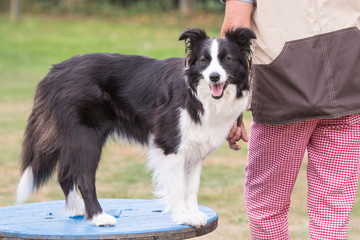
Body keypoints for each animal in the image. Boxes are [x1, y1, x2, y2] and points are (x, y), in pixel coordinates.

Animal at [16, 27, 253, 227]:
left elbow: (191, 187)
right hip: (87, 136)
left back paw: (77, 209)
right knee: (83, 178)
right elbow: (177, 187)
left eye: (227, 59)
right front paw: (183, 216)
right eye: (204, 60)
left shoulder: (196, 148)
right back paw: (98, 217)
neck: (196, 92)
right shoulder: (171, 145)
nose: (214, 77)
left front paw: (193, 213)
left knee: (65, 173)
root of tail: (55, 71)